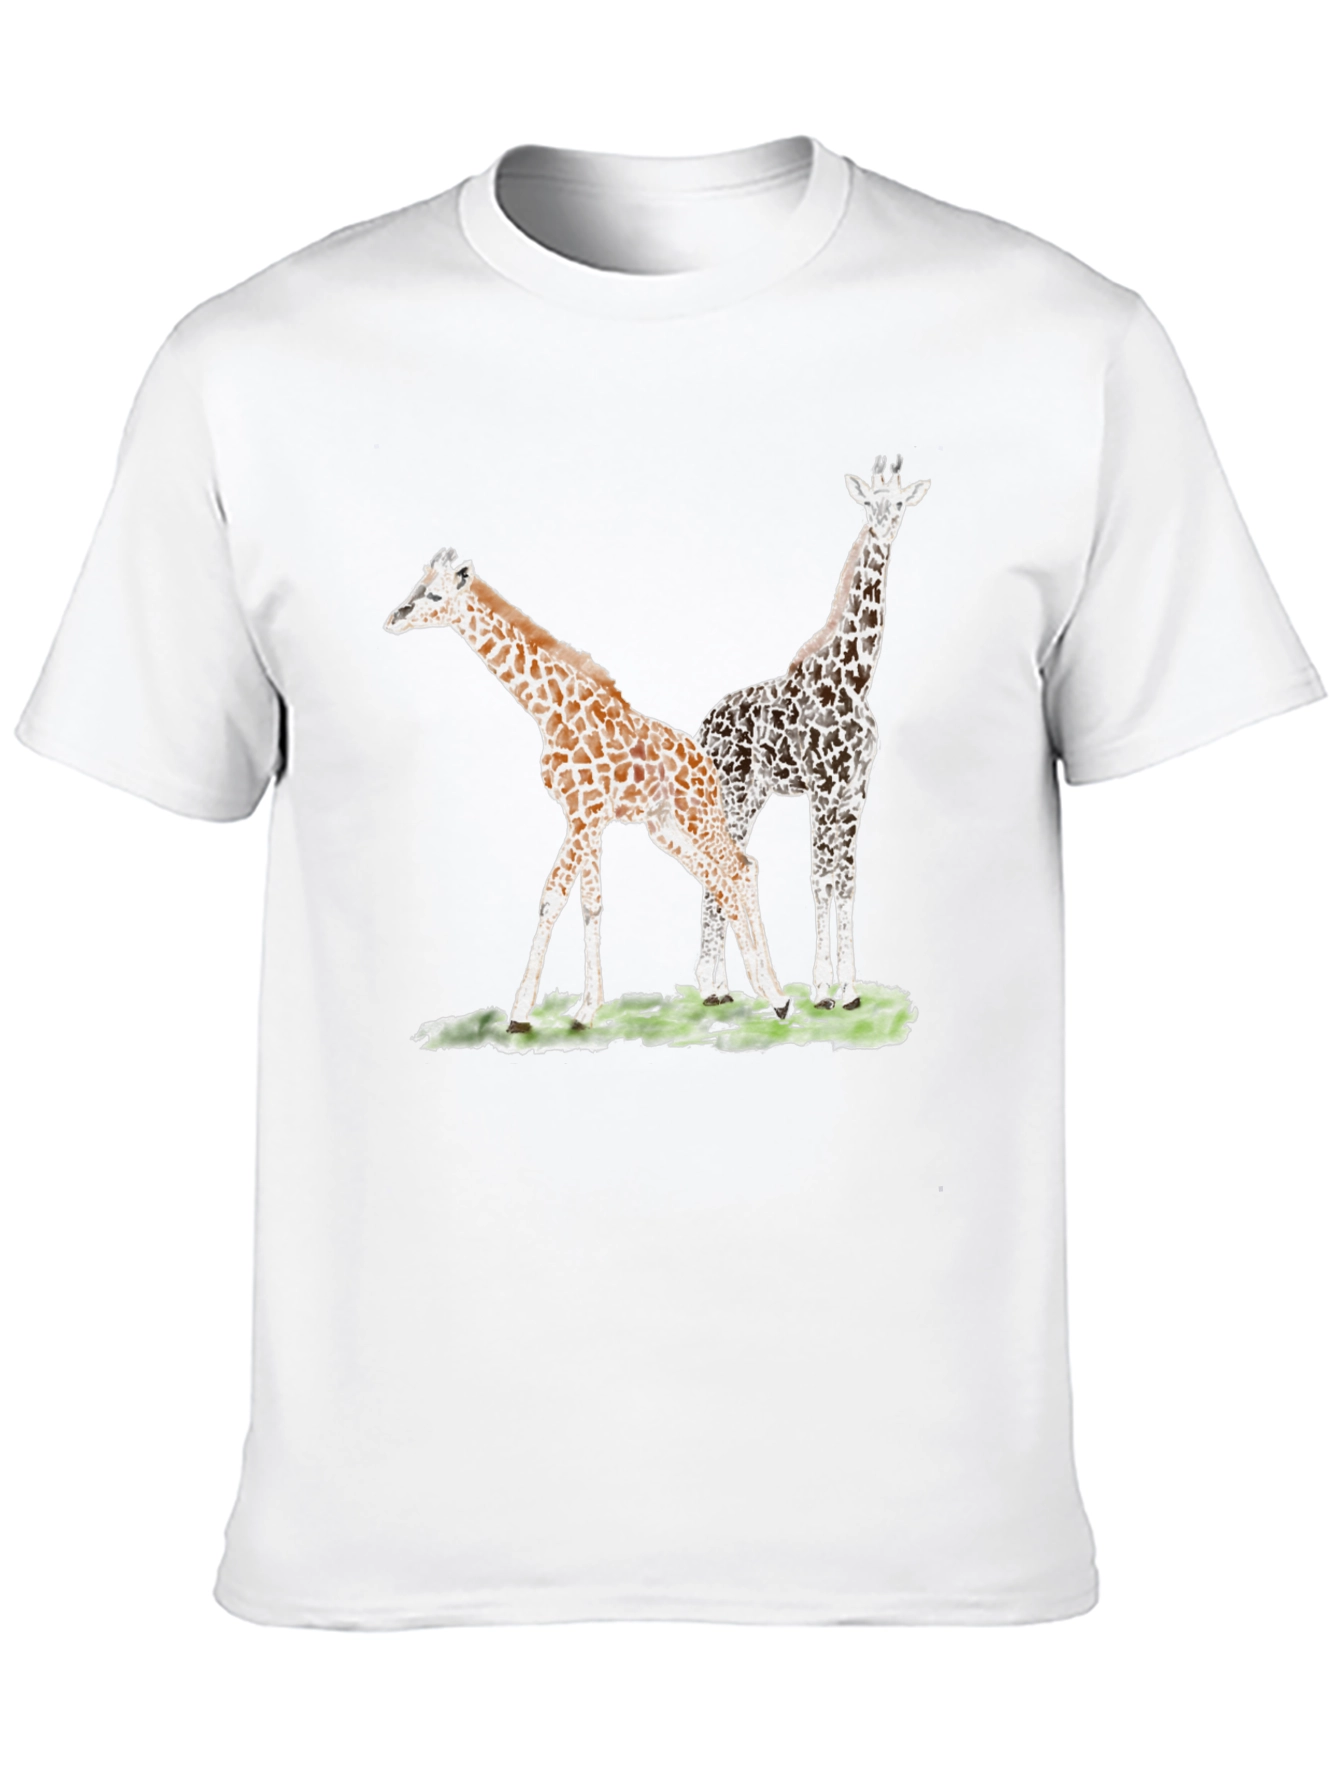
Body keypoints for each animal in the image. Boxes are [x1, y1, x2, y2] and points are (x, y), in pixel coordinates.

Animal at [385, 548, 793, 1031]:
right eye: (417, 584)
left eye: (434, 593)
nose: (393, 618)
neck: (550, 712)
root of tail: (705, 761)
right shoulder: (587, 819)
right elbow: (590, 903)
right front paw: (585, 1010)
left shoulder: (584, 816)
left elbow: (553, 898)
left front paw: (521, 1013)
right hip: (666, 829)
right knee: (729, 874)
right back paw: (753, 991)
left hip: (696, 815)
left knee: (737, 871)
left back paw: (774, 995)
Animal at [695, 454, 930, 1011]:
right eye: (869, 502)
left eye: (901, 501)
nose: (883, 528)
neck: (855, 679)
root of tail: (702, 725)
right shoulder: (822, 790)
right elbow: (820, 877)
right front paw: (823, 988)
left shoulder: (854, 791)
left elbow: (846, 880)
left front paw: (850, 989)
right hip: (734, 792)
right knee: (719, 865)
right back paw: (710, 987)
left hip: (750, 795)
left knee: (726, 865)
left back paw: (721, 987)